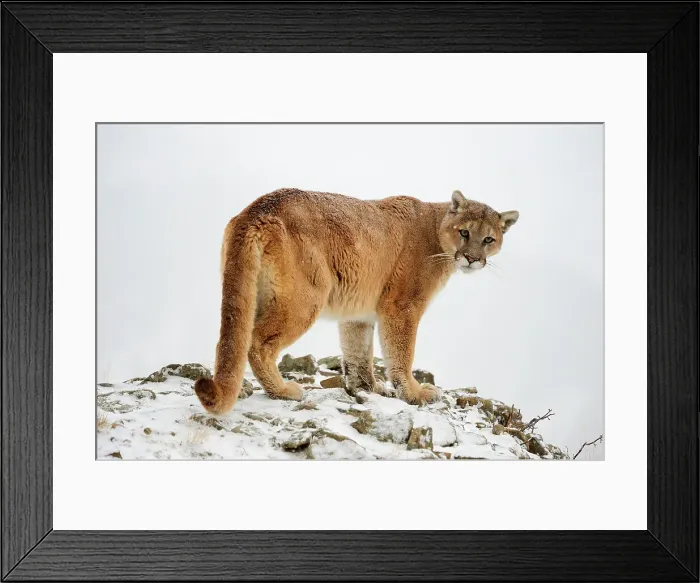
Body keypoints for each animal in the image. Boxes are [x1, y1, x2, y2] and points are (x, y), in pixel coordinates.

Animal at [194, 188, 518, 414]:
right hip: (305, 298)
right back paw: (283, 390)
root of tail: (257, 207)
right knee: (257, 343)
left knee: (234, 338)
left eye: (489, 239)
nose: (472, 258)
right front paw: (413, 393)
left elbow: (359, 352)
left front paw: (366, 388)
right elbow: (402, 352)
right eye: (464, 232)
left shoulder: (358, 312)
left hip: (251, 292)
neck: (437, 232)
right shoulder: (402, 306)